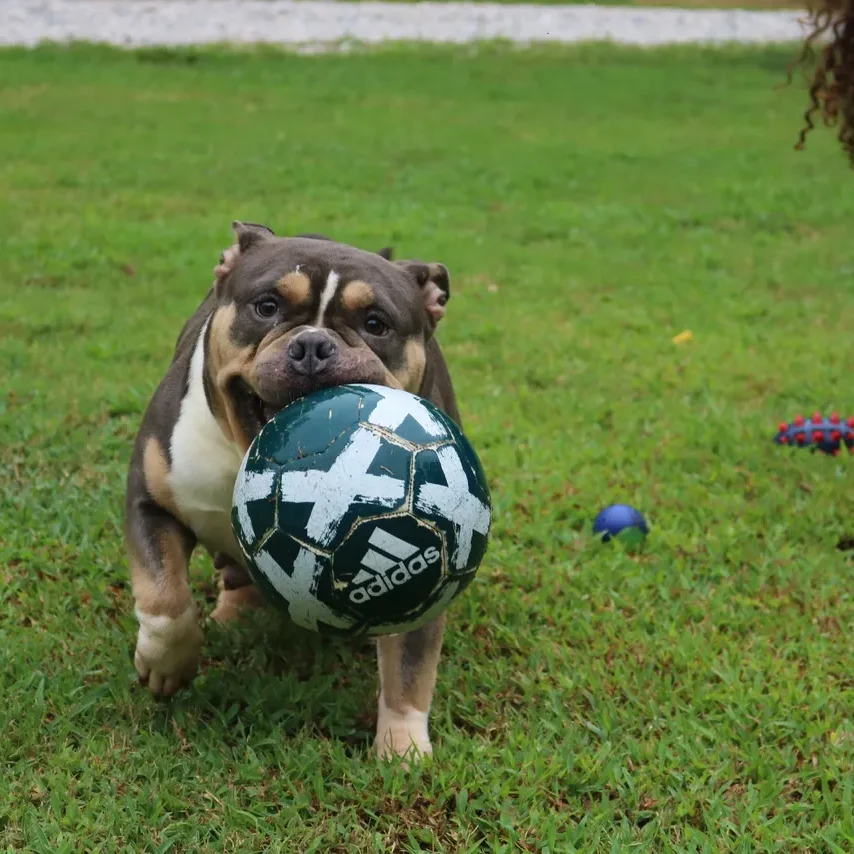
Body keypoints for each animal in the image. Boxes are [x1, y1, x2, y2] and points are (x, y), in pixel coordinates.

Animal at [124, 222, 462, 764]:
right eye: (267, 307)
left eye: (376, 323)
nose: (313, 345)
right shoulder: (149, 501)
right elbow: (165, 602)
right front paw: (166, 666)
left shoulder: (434, 568)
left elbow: (410, 665)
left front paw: (403, 751)